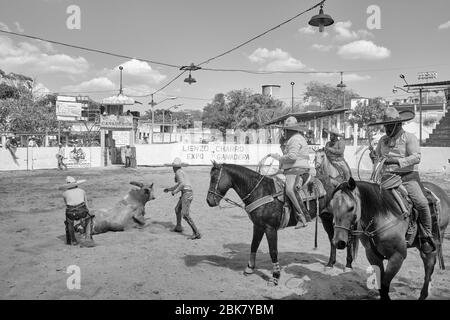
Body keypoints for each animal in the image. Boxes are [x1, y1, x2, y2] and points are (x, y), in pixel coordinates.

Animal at [207, 162, 338, 284]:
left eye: (214, 178)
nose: (209, 201)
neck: (260, 191)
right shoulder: (258, 226)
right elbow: (253, 246)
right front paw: (249, 268)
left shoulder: (270, 228)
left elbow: (273, 251)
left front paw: (275, 276)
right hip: (325, 217)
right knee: (332, 238)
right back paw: (330, 263)